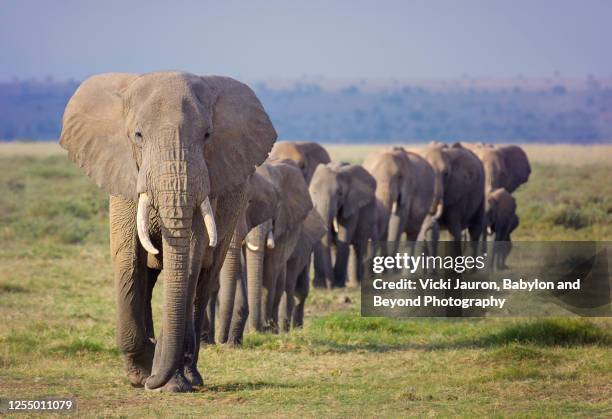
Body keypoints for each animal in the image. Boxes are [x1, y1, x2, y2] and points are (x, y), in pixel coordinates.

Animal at [59, 70, 274, 392]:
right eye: (138, 135)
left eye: (207, 136)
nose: (151, 380)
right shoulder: (124, 175)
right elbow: (127, 258)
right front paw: (141, 374)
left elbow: (189, 259)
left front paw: (166, 381)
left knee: (203, 283)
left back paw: (191, 376)